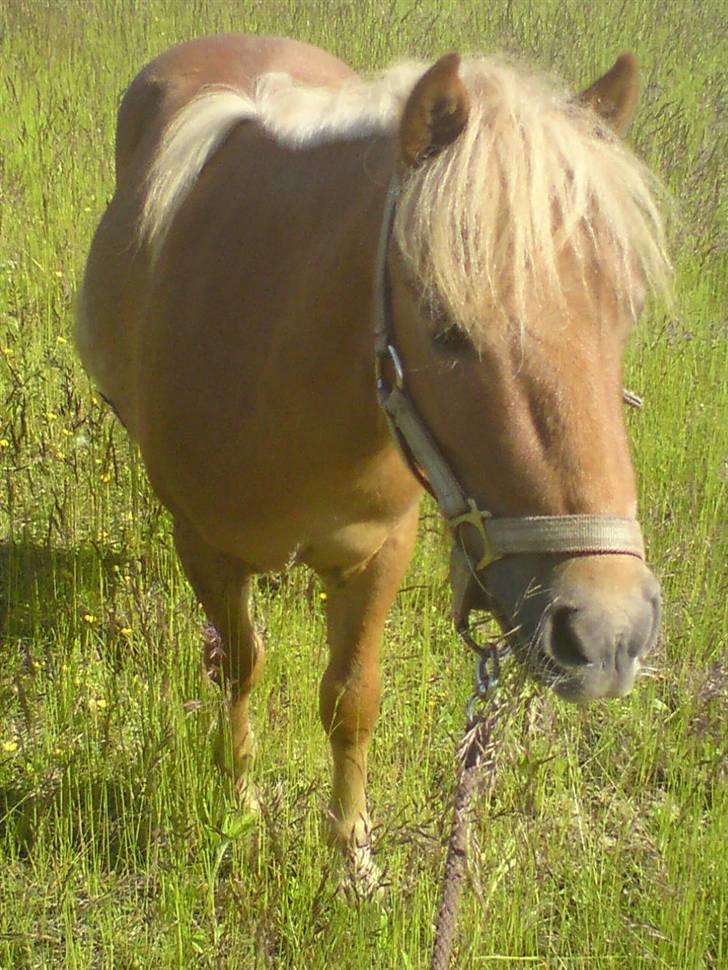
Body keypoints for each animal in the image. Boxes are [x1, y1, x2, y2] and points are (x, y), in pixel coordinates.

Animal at [76, 35, 670, 866]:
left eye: (624, 315)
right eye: (446, 327)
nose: (608, 632)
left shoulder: (378, 551)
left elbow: (351, 698)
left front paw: (350, 852)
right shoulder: (208, 549)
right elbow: (239, 668)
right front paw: (241, 802)